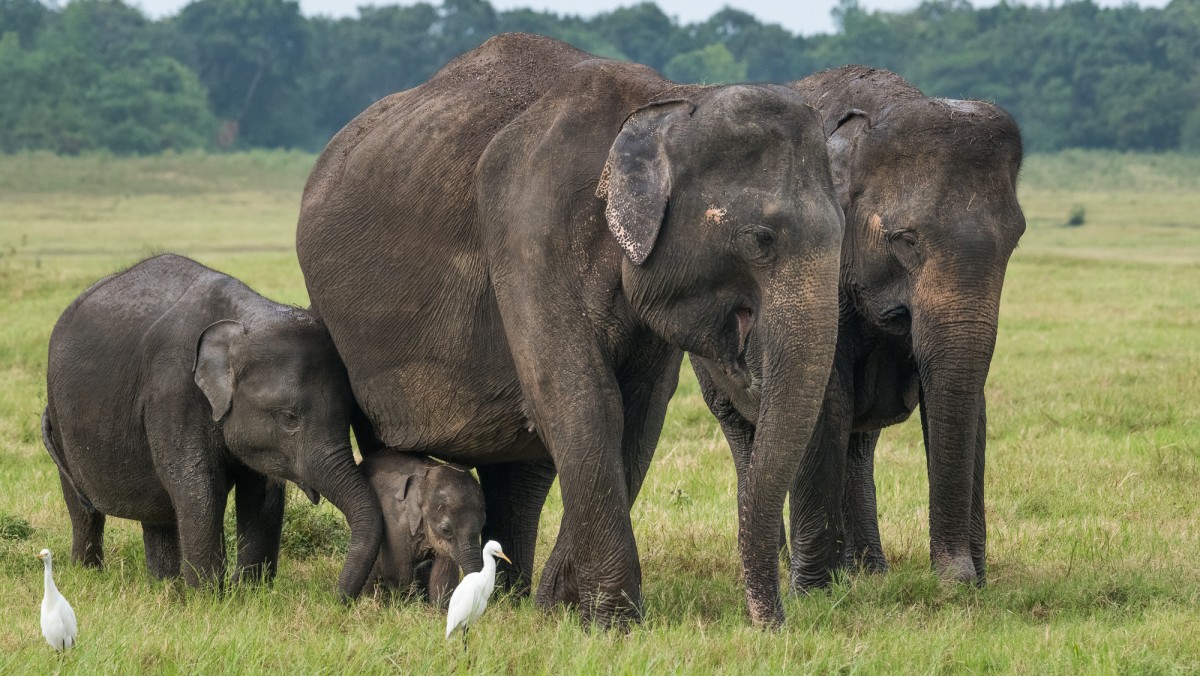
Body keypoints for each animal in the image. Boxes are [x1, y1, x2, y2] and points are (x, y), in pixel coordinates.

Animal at [43, 252, 379, 597]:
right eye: (289, 418)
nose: (337, 597)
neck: (245, 318)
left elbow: (263, 491)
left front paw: (250, 593)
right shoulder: (172, 390)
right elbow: (196, 485)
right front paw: (209, 598)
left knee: (157, 512)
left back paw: (166, 586)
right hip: (58, 413)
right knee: (82, 505)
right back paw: (89, 574)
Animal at [360, 453, 487, 602]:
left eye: (482, 525)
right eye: (446, 530)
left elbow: (444, 571)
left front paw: (439, 606)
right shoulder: (396, 525)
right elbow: (397, 572)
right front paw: (405, 603)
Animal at [696, 64, 1022, 593]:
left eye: (1015, 240)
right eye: (904, 240)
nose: (957, 578)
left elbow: (968, 401)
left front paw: (974, 582)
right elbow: (824, 398)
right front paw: (812, 592)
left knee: (858, 440)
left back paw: (868, 571)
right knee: (742, 428)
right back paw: (786, 564)